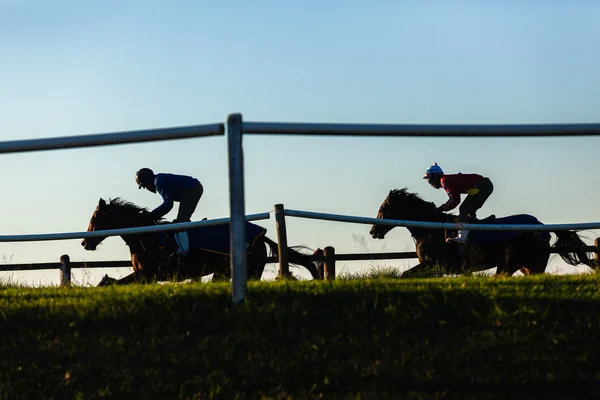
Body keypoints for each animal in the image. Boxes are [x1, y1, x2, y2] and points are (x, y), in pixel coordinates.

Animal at [83, 197, 324, 284]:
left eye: (95, 218)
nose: (85, 243)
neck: (146, 237)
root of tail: (261, 235)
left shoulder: (147, 274)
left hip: (245, 269)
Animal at [368, 188, 592, 278]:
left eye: (384, 208)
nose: (373, 231)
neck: (430, 229)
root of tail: (541, 226)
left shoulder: (436, 265)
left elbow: (406, 274)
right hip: (524, 266)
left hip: (520, 265)